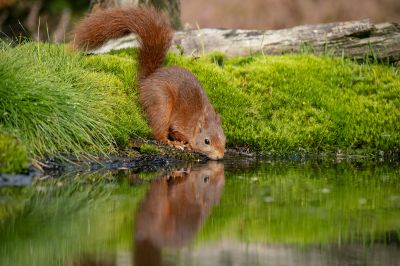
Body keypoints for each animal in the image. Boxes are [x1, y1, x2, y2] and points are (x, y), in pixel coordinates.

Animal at [71, 6, 225, 160]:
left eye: (224, 139)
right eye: (206, 141)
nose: (220, 156)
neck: (199, 117)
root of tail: (147, 79)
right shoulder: (180, 122)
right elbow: (176, 131)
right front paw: (183, 143)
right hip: (162, 101)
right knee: (158, 130)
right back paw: (170, 142)